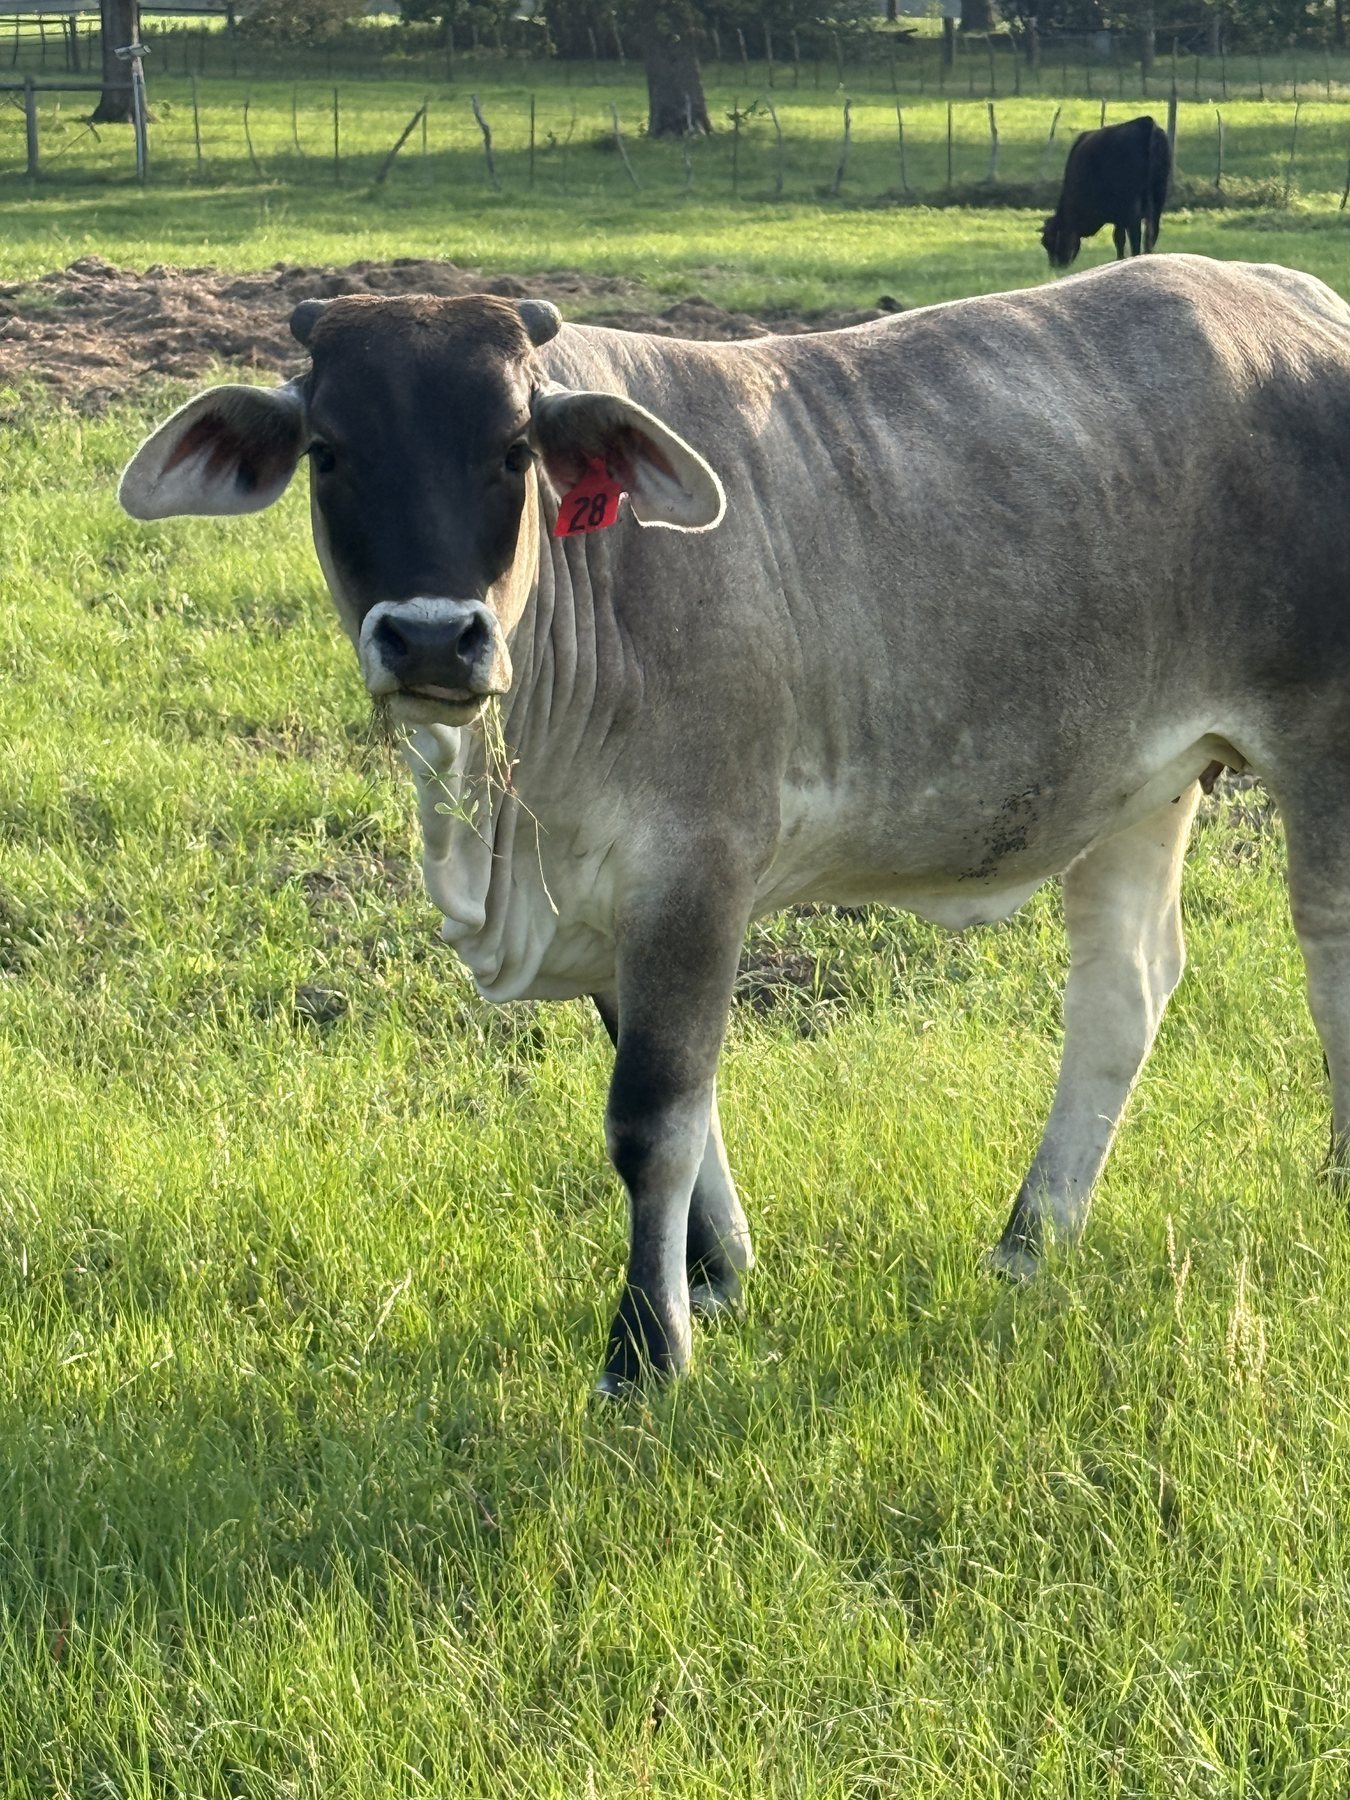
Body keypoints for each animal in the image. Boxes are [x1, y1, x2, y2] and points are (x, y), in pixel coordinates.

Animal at [119, 255, 1350, 1394]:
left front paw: (645, 1349)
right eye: (329, 451)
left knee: (1326, 969)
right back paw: (1028, 1243)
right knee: (1119, 997)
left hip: (1320, 751)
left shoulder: (694, 866)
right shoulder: (611, 898)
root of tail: (1299, 297)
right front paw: (711, 1277)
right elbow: (686, 1103)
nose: (431, 637)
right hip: (1141, 784)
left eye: (515, 449)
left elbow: (654, 1115)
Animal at [1041, 114, 1171, 269]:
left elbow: (1118, 238)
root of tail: (1145, 122)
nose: (1056, 266)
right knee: (1152, 231)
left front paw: (1119, 259)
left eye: (1049, 241)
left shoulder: (1119, 215)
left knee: (1136, 234)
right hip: (1159, 196)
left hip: (1132, 203)